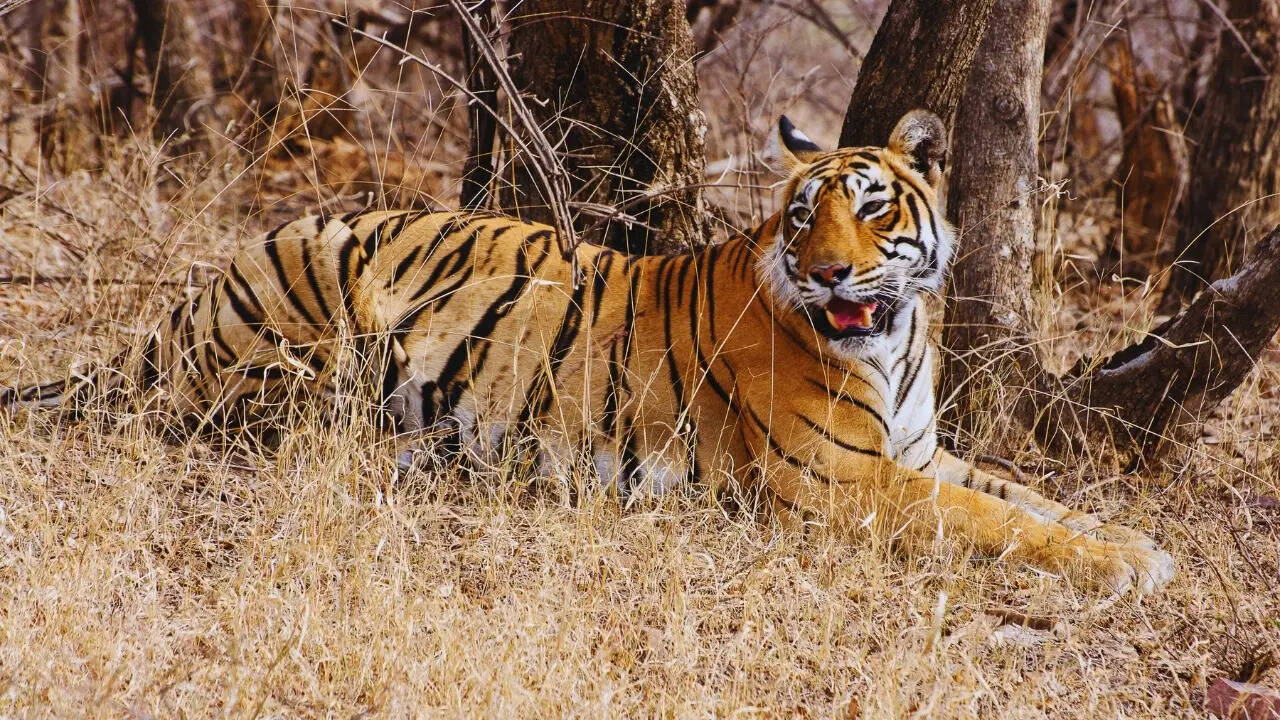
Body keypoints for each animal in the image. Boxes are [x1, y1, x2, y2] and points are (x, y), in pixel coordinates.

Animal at [2, 110, 1173, 595]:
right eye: (803, 219)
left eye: (872, 208)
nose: (832, 275)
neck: (895, 339)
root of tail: (193, 297)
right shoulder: (841, 480)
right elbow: (997, 525)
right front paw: (1122, 566)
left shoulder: (919, 453)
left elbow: (1031, 499)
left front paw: (1137, 544)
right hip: (306, 309)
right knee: (239, 419)